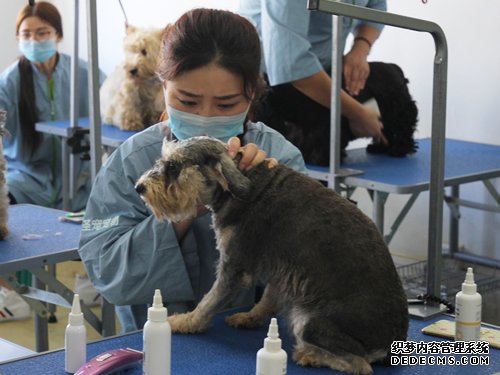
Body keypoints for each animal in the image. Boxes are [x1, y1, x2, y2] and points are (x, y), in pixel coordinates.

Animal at [136, 137, 406, 374]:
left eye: (173, 166)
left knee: (360, 364)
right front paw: (250, 316)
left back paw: (311, 355)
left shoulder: (234, 267)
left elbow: (208, 301)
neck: (236, 188)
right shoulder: (280, 267)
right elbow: (268, 297)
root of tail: (392, 344)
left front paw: (186, 321)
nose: (139, 187)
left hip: (308, 322)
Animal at [252, 61, 420, 166]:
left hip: (398, 111)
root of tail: (395, 68)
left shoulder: (324, 129)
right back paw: (379, 148)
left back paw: (399, 149)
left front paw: (320, 159)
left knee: (403, 129)